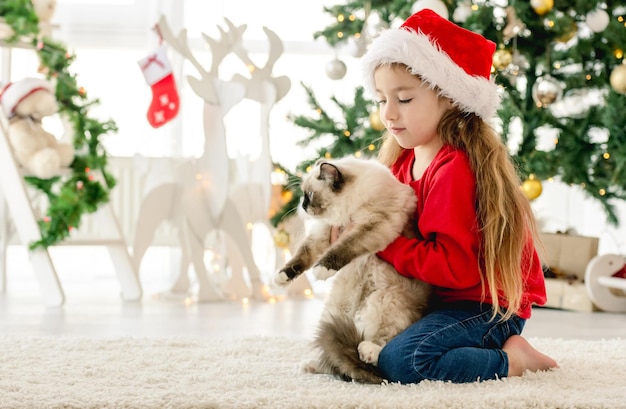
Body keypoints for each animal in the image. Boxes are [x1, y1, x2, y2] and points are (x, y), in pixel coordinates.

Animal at [272, 155, 428, 382]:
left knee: (384, 352)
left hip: (383, 301)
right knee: (333, 359)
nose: (302, 205)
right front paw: (282, 277)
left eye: (310, 195)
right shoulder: (323, 234)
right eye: (304, 195)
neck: (346, 211)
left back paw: (367, 352)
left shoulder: (372, 227)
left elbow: (343, 248)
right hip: (333, 313)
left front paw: (321, 270)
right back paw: (310, 365)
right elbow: (301, 257)